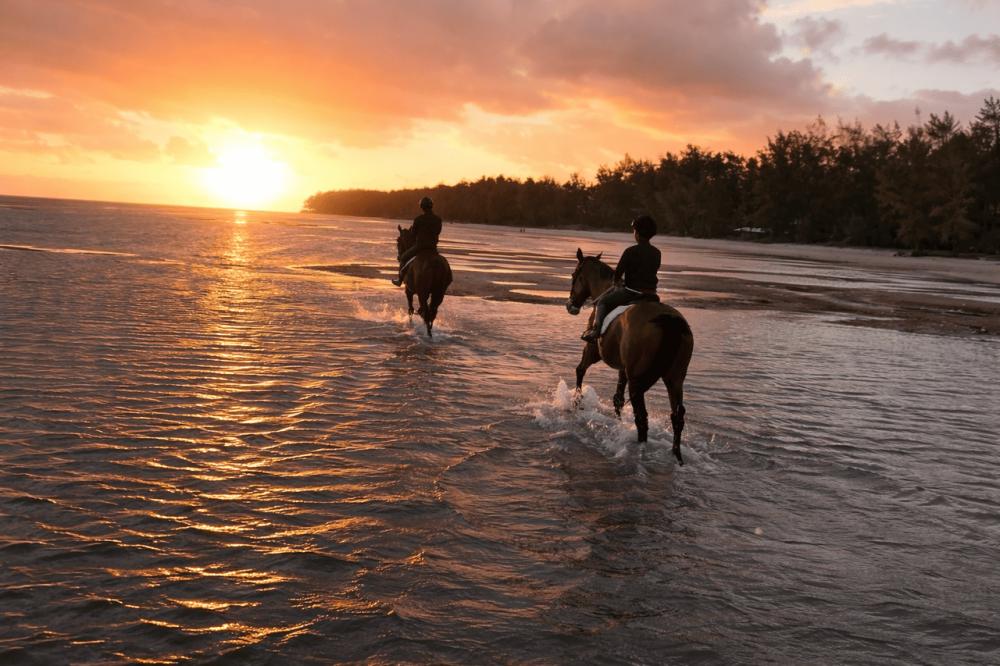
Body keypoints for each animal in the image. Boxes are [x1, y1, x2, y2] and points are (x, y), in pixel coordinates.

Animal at [565, 248, 694, 464]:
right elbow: (617, 398)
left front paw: (577, 400)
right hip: (675, 378)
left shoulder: (592, 351)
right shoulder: (623, 368)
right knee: (677, 416)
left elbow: (580, 370)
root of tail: (669, 320)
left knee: (642, 417)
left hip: (638, 380)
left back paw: (640, 448)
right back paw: (677, 456)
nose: (571, 306)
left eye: (574, 275)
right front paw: (618, 422)